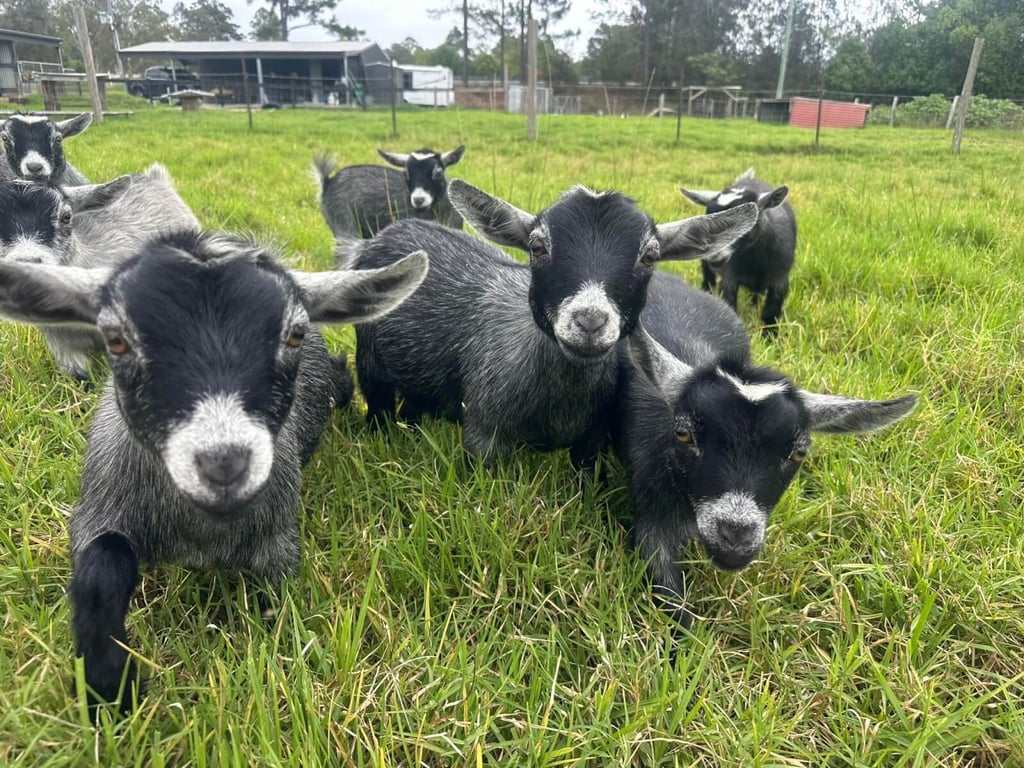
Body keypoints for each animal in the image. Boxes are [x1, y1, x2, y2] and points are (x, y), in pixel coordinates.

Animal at [0, 231, 428, 713]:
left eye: (294, 335)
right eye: (116, 340)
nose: (224, 463)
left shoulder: (279, 540)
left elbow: (273, 611)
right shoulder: (97, 512)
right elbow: (102, 569)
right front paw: (109, 690)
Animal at [353, 179, 758, 466]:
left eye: (649, 256)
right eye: (537, 247)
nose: (590, 321)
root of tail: (394, 230)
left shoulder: (592, 441)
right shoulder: (484, 432)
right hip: (370, 361)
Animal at [680, 167, 796, 332]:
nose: (713, 255)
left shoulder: (779, 280)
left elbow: (771, 313)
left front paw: (770, 336)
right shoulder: (729, 279)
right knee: (708, 280)